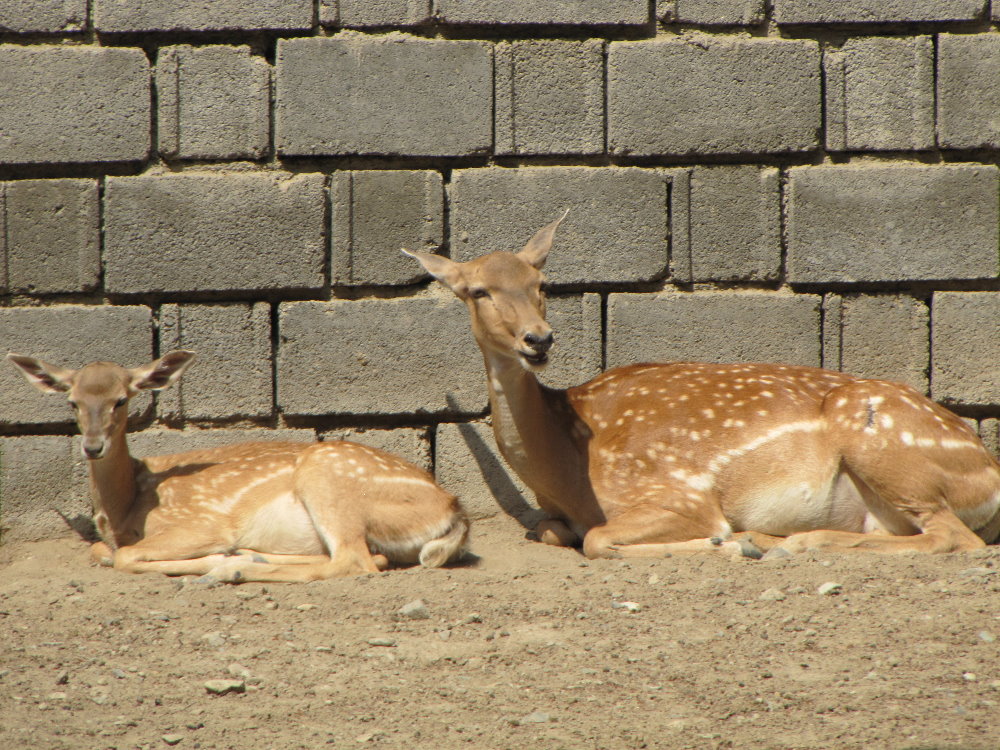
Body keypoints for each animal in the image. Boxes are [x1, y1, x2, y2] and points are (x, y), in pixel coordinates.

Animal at [6, 350, 468, 583]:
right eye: (72, 401)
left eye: (121, 399)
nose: (92, 447)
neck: (124, 509)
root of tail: (455, 510)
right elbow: (101, 551)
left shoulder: (200, 522)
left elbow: (124, 556)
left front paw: (214, 560)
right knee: (367, 557)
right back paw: (247, 557)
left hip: (328, 475)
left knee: (354, 560)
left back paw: (232, 568)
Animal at [404, 214, 1000, 558]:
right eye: (478, 290)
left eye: (541, 283)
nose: (539, 339)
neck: (567, 465)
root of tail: (989, 472)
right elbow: (550, 530)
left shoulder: (677, 491)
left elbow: (597, 539)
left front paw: (719, 538)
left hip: (887, 447)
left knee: (955, 538)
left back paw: (780, 542)